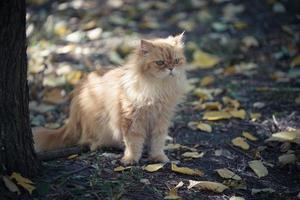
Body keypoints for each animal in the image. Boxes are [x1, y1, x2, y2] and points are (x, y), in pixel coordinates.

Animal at [33, 33, 188, 165]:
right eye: (160, 62)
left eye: (176, 61)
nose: (171, 68)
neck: (158, 89)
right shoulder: (131, 119)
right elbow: (133, 142)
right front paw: (130, 159)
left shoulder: (162, 119)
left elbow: (158, 142)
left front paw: (158, 157)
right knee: (88, 142)